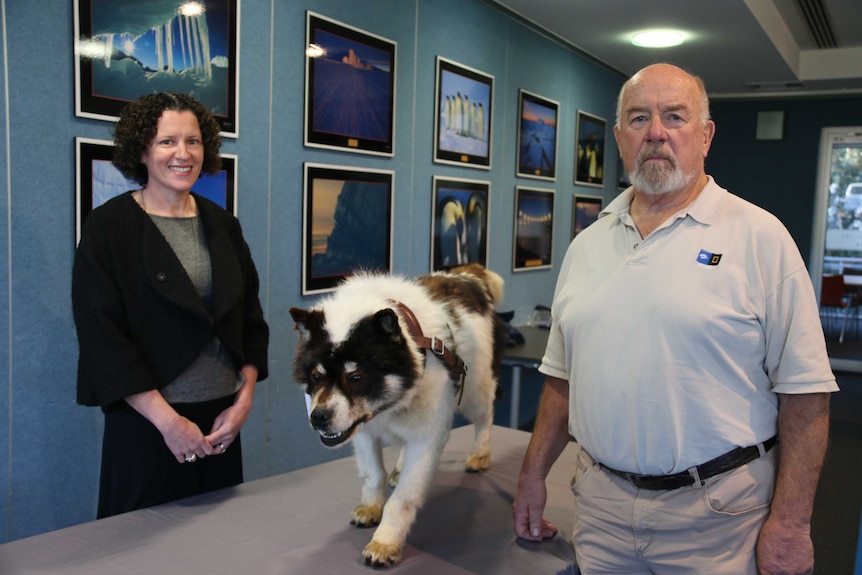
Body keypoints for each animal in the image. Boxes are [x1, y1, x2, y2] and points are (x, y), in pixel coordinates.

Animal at [290, 264, 506, 568]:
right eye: (316, 376)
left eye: (356, 377)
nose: (318, 417)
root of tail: (469, 276)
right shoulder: (363, 433)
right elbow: (373, 474)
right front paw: (370, 507)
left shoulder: (427, 438)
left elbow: (403, 499)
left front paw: (384, 543)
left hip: (476, 389)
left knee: (485, 416)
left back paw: (480, 454)